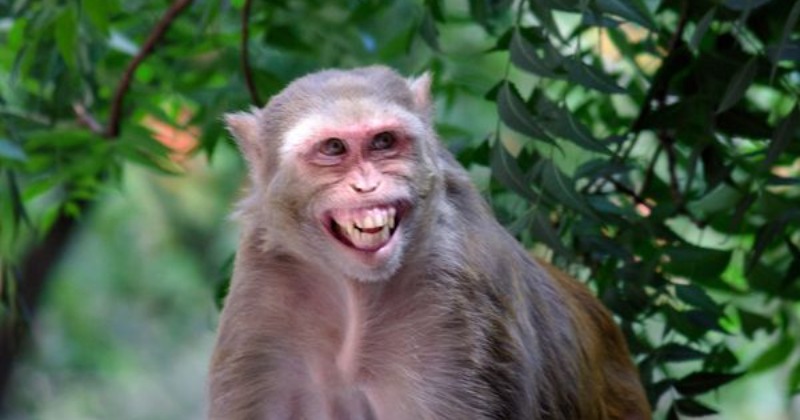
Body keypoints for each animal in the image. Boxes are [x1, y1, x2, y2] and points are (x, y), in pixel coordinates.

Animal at [209, 66, 651, 420]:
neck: (356, 294)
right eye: (333, 147)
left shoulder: (459, 304)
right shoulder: (261, 295)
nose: (367, 185)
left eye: (383, 141)